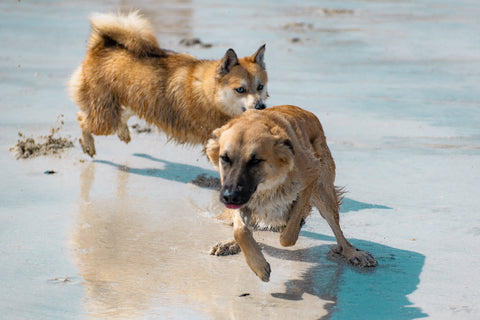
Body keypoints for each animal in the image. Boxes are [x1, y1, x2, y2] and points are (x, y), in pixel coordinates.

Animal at [69, 11, 268, 157]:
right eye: (240, 89)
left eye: (260, 87)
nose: (261, 107)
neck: (210, 94)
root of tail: (101, 46)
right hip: (105, 117)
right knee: (82, 118)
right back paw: (88, 144)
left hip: (134, 103)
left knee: (119, 116)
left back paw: (123, 132)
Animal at [206, 104, 378, 280]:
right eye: (225, 158)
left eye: (255, 161)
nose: (229, 197)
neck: (267, 185)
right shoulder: (241, 197)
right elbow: (240, 231)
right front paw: (258, 265)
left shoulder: (311, 176)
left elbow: (288, 235)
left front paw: (289, 229)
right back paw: (231, 244)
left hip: (323, 193)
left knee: (337, 230)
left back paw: (352, 252)